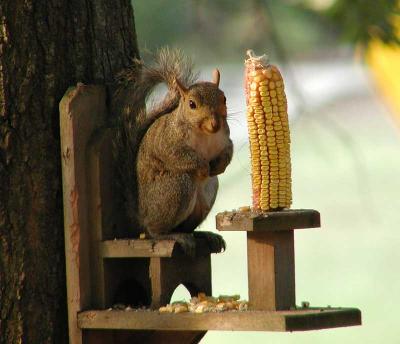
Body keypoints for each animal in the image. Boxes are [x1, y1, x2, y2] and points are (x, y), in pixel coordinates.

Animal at [112, 48, 233, 255]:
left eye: (223, 98)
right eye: (192, 104)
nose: (215, 123)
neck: (205, 133)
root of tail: (142, 215)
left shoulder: (225, 138)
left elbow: (228, 152)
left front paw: (219, 166)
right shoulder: (168, 142)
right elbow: (178, 155)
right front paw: (203, 167)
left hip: (206, 194)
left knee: (187, 227)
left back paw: (203, 235)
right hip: (176, 187)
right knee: (155, 231)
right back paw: (172, 235)